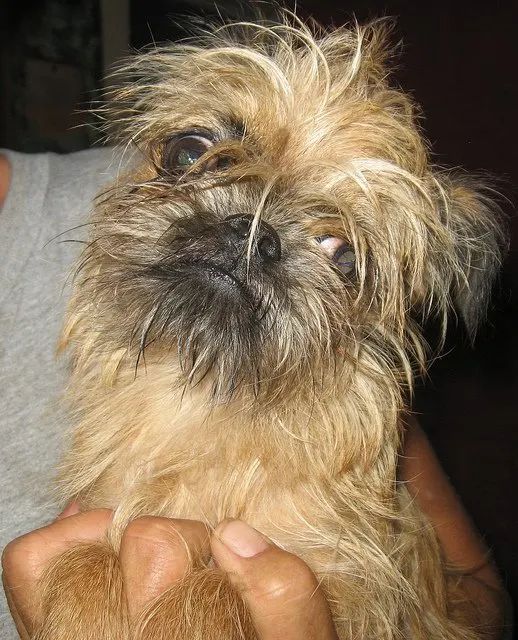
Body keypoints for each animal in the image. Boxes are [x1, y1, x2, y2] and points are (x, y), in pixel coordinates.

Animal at [37, 15, 508, 640]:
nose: (252, 231)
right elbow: (85, 559)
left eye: (342, 255)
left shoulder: (345, 588)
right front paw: (83, 608)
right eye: (188, 151)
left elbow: (214, 592)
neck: (202, 401)